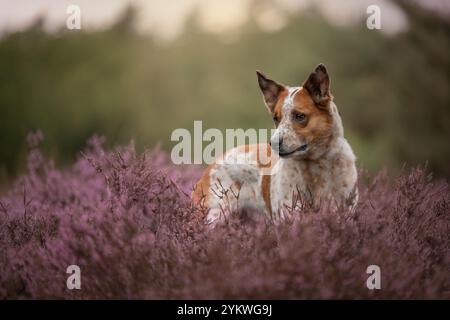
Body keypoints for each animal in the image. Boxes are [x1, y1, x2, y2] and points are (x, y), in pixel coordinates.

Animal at [192, 63, 356, 226]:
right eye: (276, 118)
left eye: (300, 116)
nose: (274, 144)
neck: (317, 166)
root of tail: (212, 165)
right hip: (215, 215)